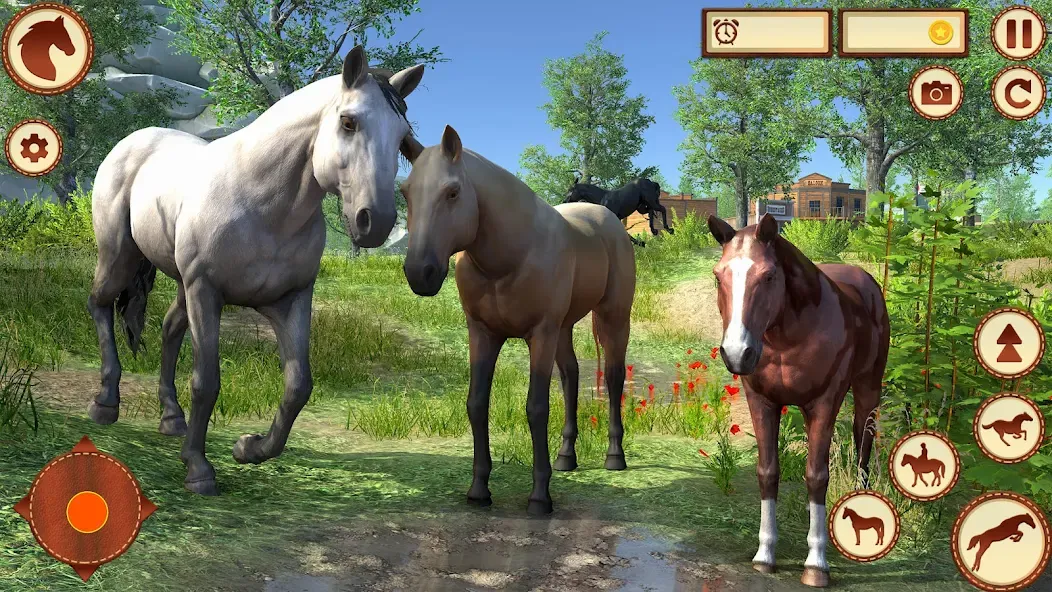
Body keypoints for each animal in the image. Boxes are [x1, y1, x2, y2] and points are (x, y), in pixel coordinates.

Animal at [87, 46, 426, 496]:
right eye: (348, 122)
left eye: (402, 136)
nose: (377, 222)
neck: (263, 202)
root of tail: (135, 140)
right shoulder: (206, 291)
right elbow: (207, 380)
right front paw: (198, 469)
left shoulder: (290, 300)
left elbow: (298, 386)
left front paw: (249, 448)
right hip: (120, 256)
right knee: (100, 304)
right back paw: (105, 404)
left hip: (179, 283)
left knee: (168, 328)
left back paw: (171, 418)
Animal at [400, 126, 636, 515]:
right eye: (406, 193)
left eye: (453, 192)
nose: (421, 273)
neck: (512, 255)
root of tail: (608, 219)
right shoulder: (482, 334)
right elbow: (477, 403)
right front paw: (478, 490)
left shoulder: (539, 334)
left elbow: (536, 408)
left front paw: (540, 497)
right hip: (563, 328)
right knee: (570, 375)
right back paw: (566, 456)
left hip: (612, 316)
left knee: (615, 376)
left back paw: (615, 456)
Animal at [707, 213, 890, 588]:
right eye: (719, 276)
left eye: (768, 275)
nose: (737, 353)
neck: (788, 336)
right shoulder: (762, 401)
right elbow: (768, 472)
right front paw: (765, 554)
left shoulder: (824, 402)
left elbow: (817, 476)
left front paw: (816, 564)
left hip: (868, 388)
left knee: (863, 441)